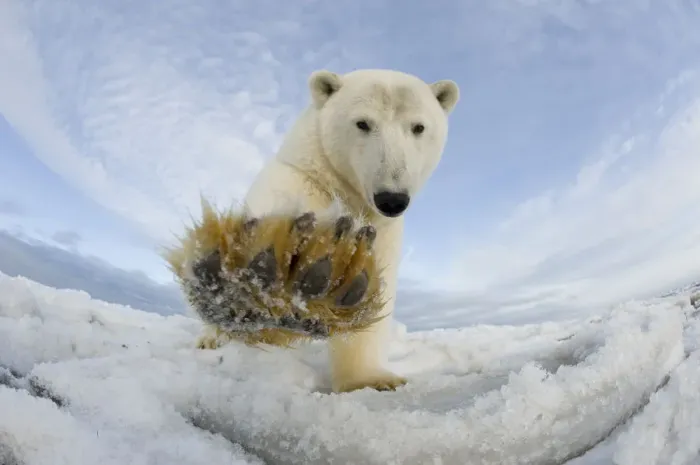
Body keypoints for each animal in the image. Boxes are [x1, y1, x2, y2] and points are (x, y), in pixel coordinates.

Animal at [190, 68, 459, 393]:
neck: (341, 189)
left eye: (418, 127)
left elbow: (369, 286)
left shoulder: (381, 229)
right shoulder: (296, 189)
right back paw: (213, 338)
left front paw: (372, 379)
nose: (392, 198)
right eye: (362, 123)